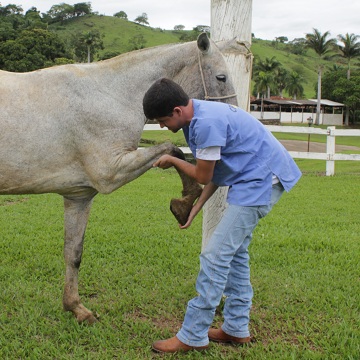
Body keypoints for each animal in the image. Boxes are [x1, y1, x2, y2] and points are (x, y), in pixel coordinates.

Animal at [0, 32, 238, 322]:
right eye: (221, 77)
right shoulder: (111, 172)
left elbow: (73, 253)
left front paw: (76, 307)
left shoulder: (78, 196)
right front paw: (184, 203)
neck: (110, 95)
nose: (233, 121)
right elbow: (172, 150)